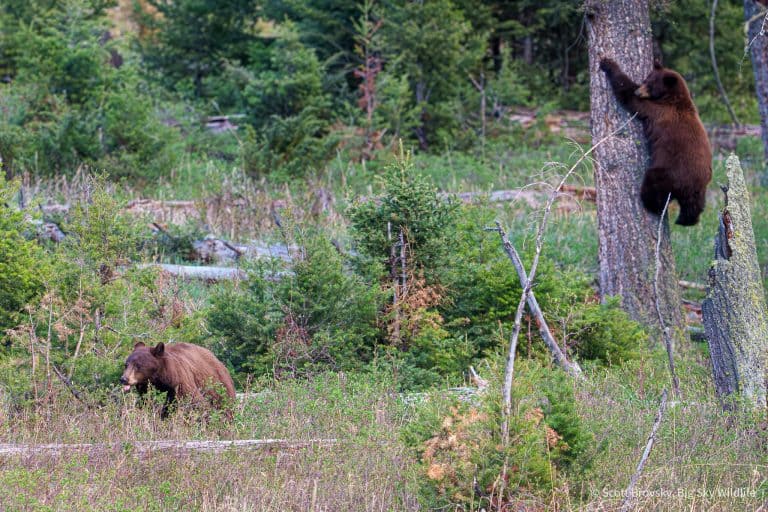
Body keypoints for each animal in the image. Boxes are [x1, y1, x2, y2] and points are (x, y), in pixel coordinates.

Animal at [599, 57, 712, 226]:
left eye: (650, 84)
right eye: (645, 79)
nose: (638, 91)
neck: (673, 99)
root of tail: (692, 186)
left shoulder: (658, 110)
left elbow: (628, 95)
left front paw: (608, 63)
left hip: (669, 172)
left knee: (653, 183)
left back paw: (651, 205)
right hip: (699, 190)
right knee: (694, 206)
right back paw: (685, 220)